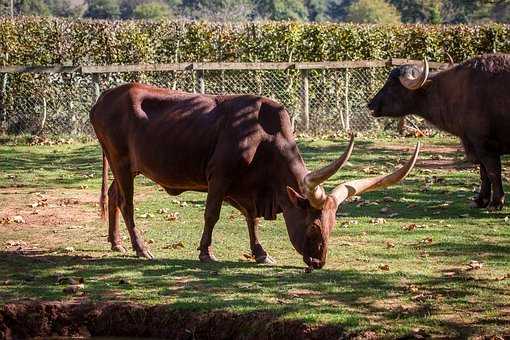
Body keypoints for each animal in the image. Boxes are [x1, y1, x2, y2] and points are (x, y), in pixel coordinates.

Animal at [91, 82, 418, 268]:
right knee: (127, 203)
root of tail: (103, 99)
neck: (265, 137)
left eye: (331, 226)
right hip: (121, 162)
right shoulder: (219, 177)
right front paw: (205, 253)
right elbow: (212, 214)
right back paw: (140, 248)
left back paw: (116, 243)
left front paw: (261, 253)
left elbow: (253, 220)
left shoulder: (249, 188)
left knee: (113, 195)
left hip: (125, 166)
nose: (318, 262)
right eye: (313, 227)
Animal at [368, 53, 510, 210]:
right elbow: (483, 173)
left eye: (393, 85)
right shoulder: (473, 144)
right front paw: (480, 200)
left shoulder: (484, 145)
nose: (370, 104)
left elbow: (493, 173)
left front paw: (496, 203)